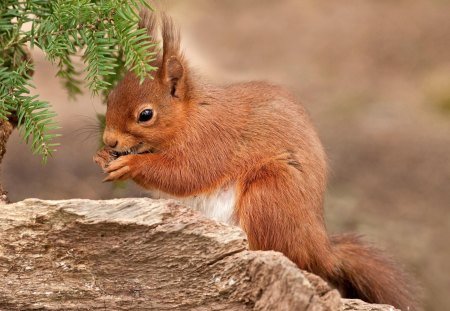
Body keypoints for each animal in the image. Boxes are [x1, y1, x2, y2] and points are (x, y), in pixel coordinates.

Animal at [94, 10, 414, 311]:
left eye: (145, 115)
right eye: (110, 98)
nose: (109, 140)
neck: (191, 114)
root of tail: (320, 248)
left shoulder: (212, 140)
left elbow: (185, 174)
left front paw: (131, 165)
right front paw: (101, 156)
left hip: (270, 192)